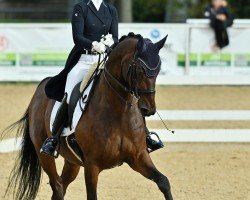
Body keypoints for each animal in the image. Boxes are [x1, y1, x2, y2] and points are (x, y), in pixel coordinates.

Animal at [4, 33, 172, 199]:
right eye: (139, 69)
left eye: (158, 69)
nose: (148, 109)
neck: (119, 112)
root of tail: (41, 87)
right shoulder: (92, 165)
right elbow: (92, 195)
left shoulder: (138, 157)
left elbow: (164, 182)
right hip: (45, 155)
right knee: (57, 185)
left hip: (72, 162)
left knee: (61, 186)